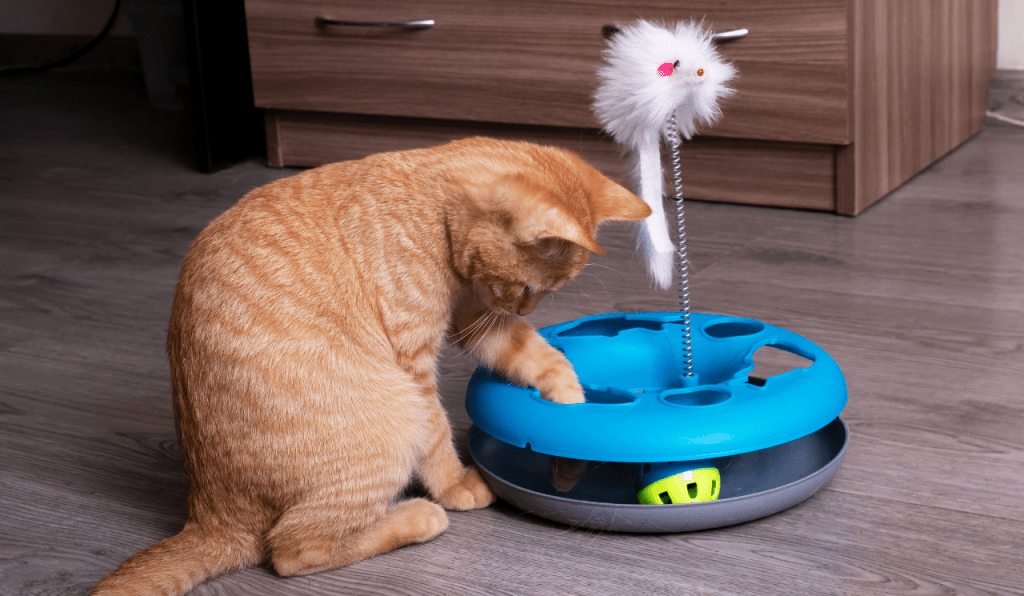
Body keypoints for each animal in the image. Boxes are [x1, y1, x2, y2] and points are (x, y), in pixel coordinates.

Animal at [90, 138, 647, 593]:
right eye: (531, 288)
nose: (526, 310)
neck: (430, 200)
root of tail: (210, 515)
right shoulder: (418, 360)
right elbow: (438, 434)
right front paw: (455, 485)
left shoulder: (476, 316)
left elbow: (541, 357)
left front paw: (571, 418)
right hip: (392, 419)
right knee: (292, 550)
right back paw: (419, 516)